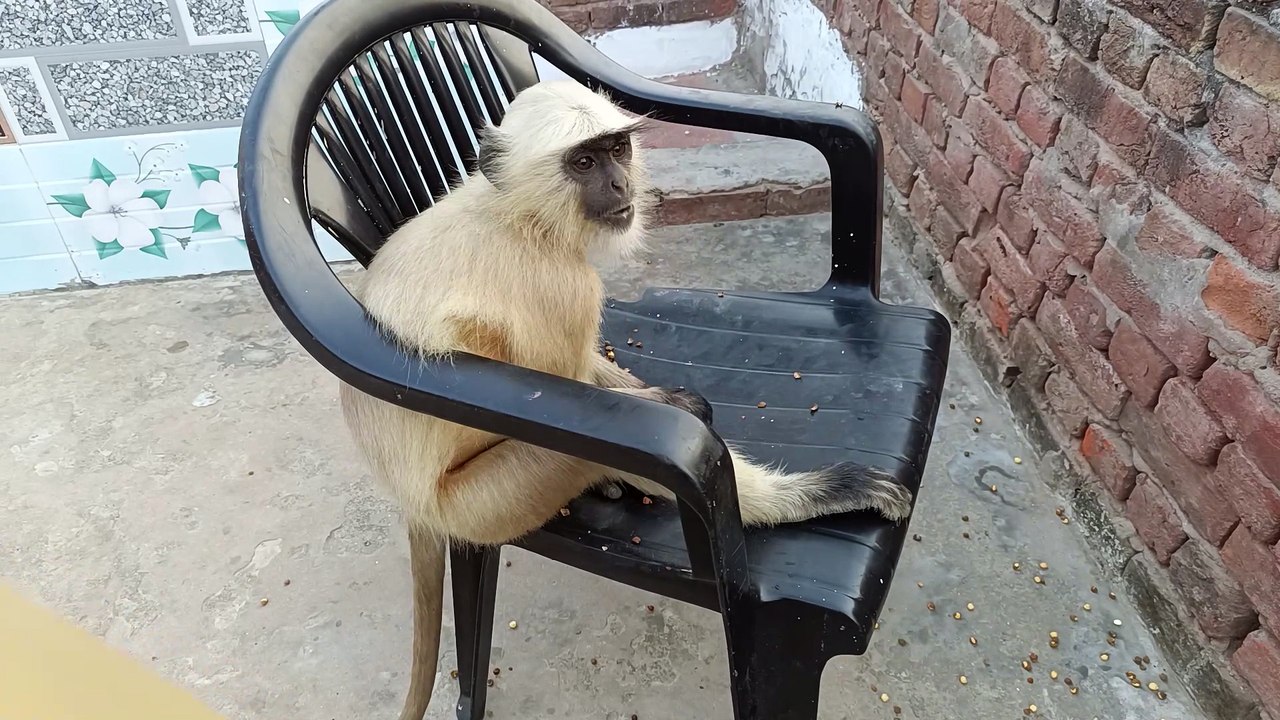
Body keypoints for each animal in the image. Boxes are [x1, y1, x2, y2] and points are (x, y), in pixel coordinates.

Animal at [336, 79, 914, 720]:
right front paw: (812, 487)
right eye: (584, 163)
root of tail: (414, 504)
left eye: (616, 151)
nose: (619, 185)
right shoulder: (561, 287)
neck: (519, 217)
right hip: (481, 505)